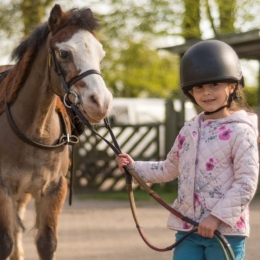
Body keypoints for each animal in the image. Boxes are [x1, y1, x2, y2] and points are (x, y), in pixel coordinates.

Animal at [0, 4, 111, 260]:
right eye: (64, 54)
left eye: (101, 56)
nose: (100, 102)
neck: (34, 130)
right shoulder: (3, 189)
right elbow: (5, 243)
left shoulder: (53, 190)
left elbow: (46, 243)